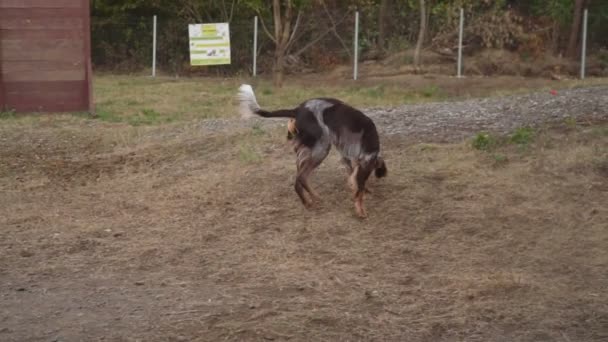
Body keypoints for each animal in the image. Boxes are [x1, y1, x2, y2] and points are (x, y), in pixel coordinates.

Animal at [236, 83, 384, 218]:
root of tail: (297, 109)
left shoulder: (347, 156)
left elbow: (353, 175)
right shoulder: (365, 162)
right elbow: (359, 189)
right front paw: (361, 210)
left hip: (308, 150)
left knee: (298, 181)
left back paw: (308, 202)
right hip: (322, 148)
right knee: (302, 177)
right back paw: (315, 198)